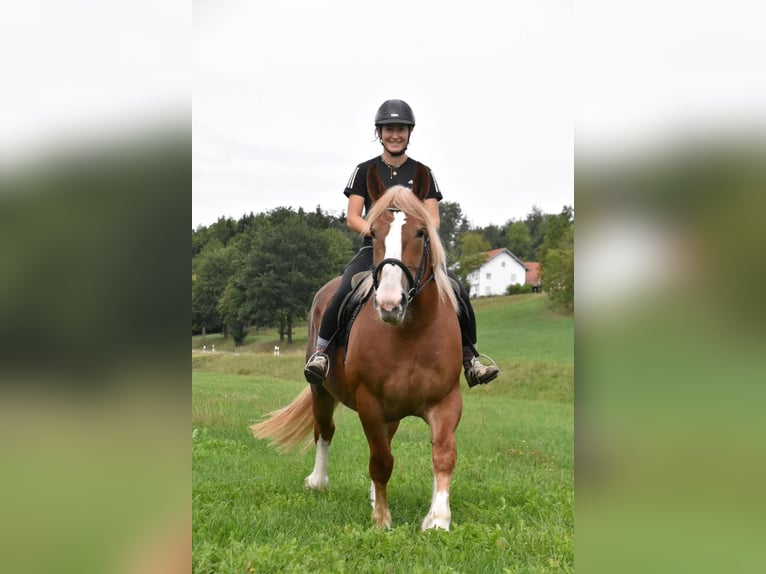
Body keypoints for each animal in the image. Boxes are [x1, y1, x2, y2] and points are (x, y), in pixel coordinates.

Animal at [251, 176, 463, 531]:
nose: (390, 304)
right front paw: (382, 519)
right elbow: (380, 461)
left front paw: (437, 519)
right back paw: (318, 481)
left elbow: (443, 454)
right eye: (374, 233)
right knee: (324, 431)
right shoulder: (370, 402)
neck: (412, 332)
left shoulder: (445, 400)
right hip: (321, 391)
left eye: (421, 232)